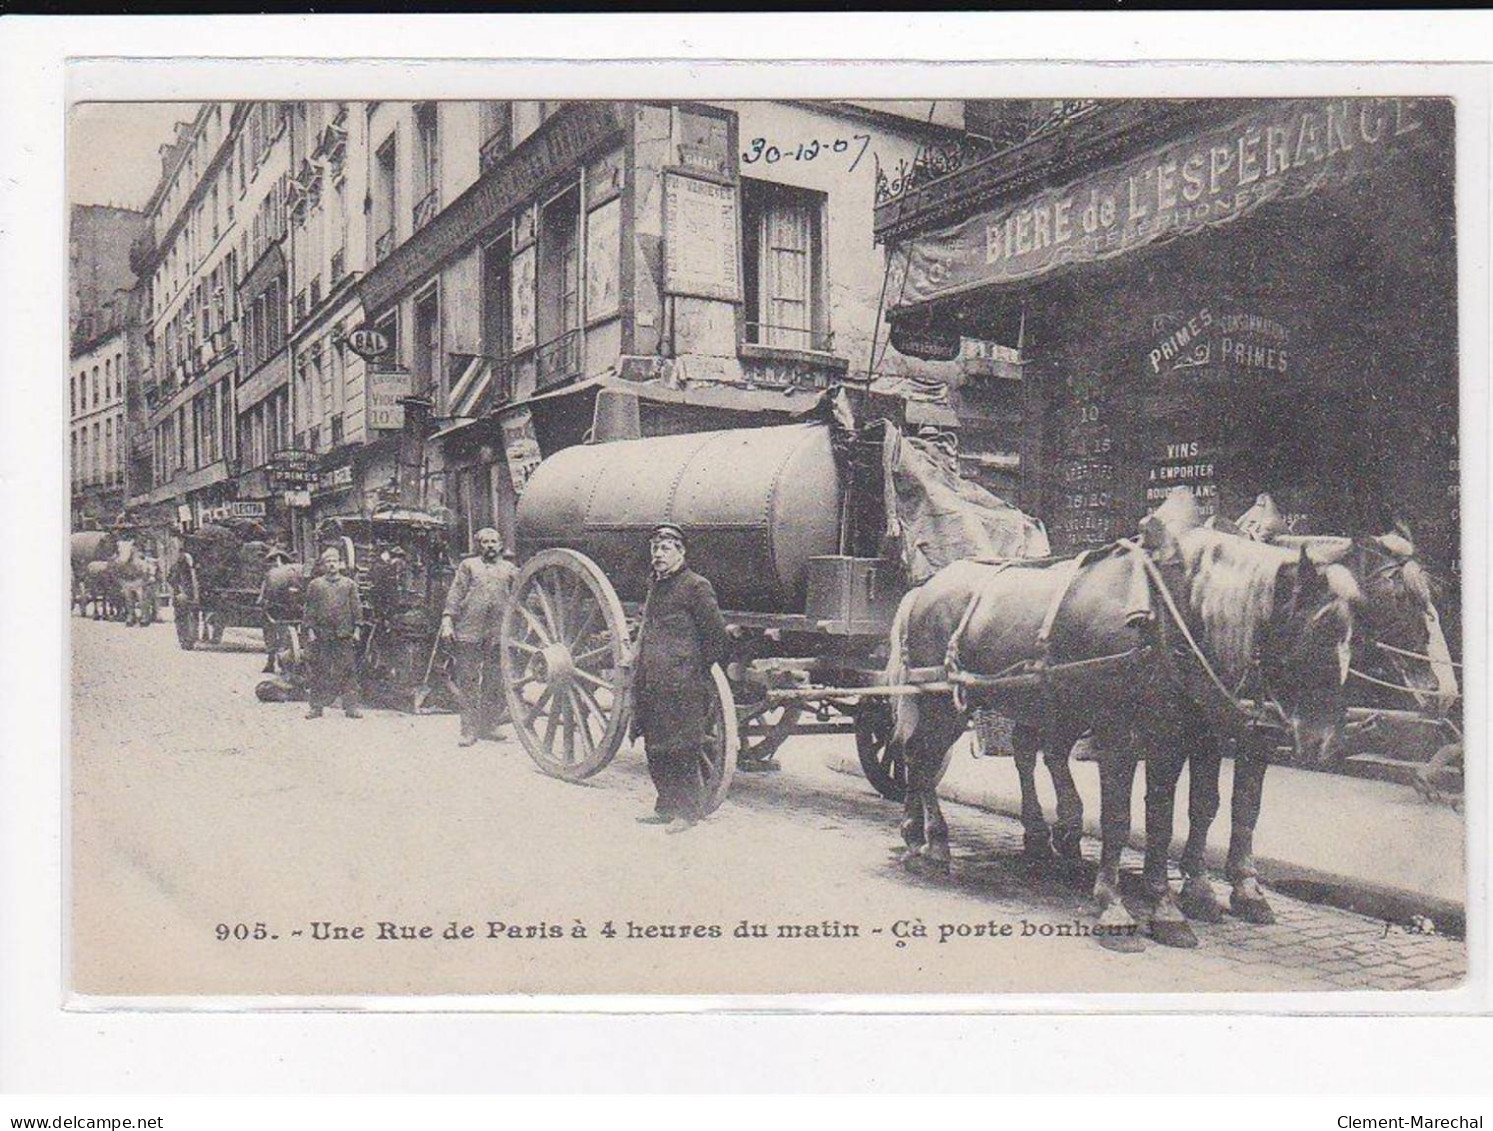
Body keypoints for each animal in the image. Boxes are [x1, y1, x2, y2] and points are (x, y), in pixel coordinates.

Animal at [877, 492, 1361, 954]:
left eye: (1350, 634)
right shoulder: (1120, 735)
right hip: (942, 702)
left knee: (1009, 754)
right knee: (921, 758)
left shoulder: (1181, 738)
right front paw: (1115, 907)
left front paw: (1175, 905)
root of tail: (925, 588)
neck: (1170, 615)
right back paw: (933, 842)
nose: (1325, 743)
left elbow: (1182, 816)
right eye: (1312, 633)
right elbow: (1119, 819)